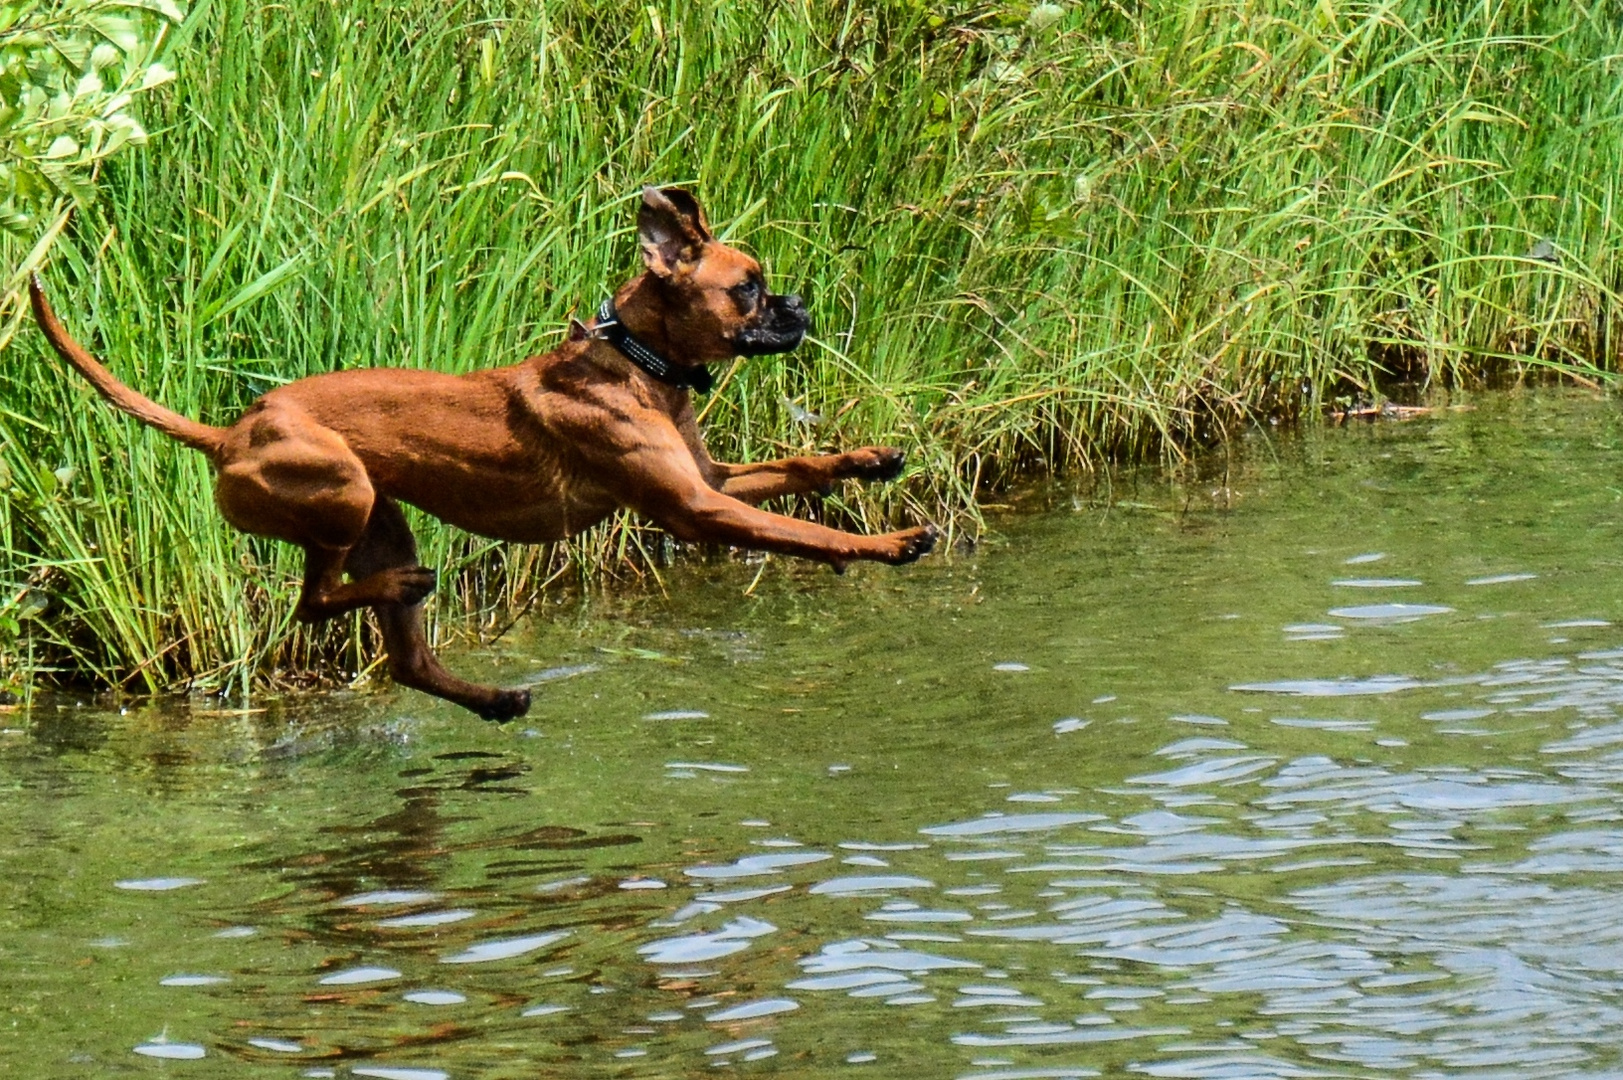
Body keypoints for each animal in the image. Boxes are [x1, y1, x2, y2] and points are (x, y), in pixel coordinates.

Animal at [25, 187, 941, 714]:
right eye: (746, 288)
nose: (799, 305)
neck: (639, 362)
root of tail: (229, 431)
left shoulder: (713, 480)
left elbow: (799, 468)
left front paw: (870, 461)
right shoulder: (695, 508)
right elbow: (807, 533)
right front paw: (886, 542)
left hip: (383, 520)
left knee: (403, 660)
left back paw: (493, 697)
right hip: (344, 491)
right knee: (313, 601)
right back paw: (403, 601)